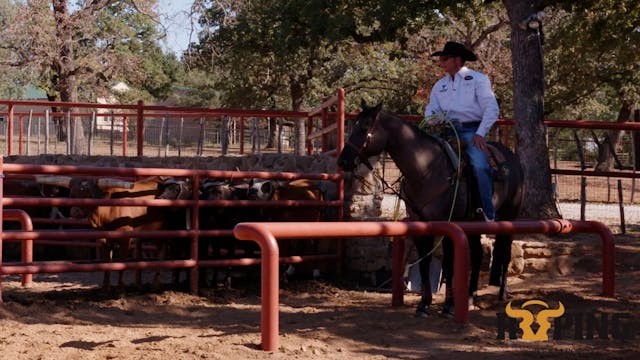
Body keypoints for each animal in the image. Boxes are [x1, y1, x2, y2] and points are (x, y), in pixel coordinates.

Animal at [338, 102, 524, 316]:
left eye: (364, 127)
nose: (342, 161)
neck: (426, 169)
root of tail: (512, 157)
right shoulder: (421, 224)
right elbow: (424, 263)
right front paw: (424, 304)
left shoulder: (449, 224)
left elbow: (449, 264)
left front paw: (449, 305)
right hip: (473, 224)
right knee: (477, 255)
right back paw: (470, 297)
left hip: (509, 216)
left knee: (506, 252)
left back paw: (502, 294)